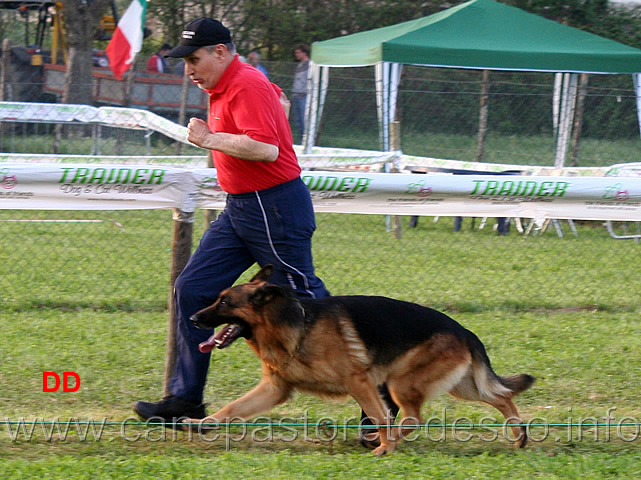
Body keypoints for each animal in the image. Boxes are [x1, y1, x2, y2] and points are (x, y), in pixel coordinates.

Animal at [188, 264, 532, 456]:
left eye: (224, 302)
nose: (192, 318)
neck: (295, 325)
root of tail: (464, 330)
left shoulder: (360, 381)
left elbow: (380, 416)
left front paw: (386, 447)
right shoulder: (274, 389)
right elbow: (231, 409)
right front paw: (201, 425)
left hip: (400, 383)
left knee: (411, 419)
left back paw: (386, 442)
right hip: (461, 385)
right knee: (502, 397)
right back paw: (520, 437)